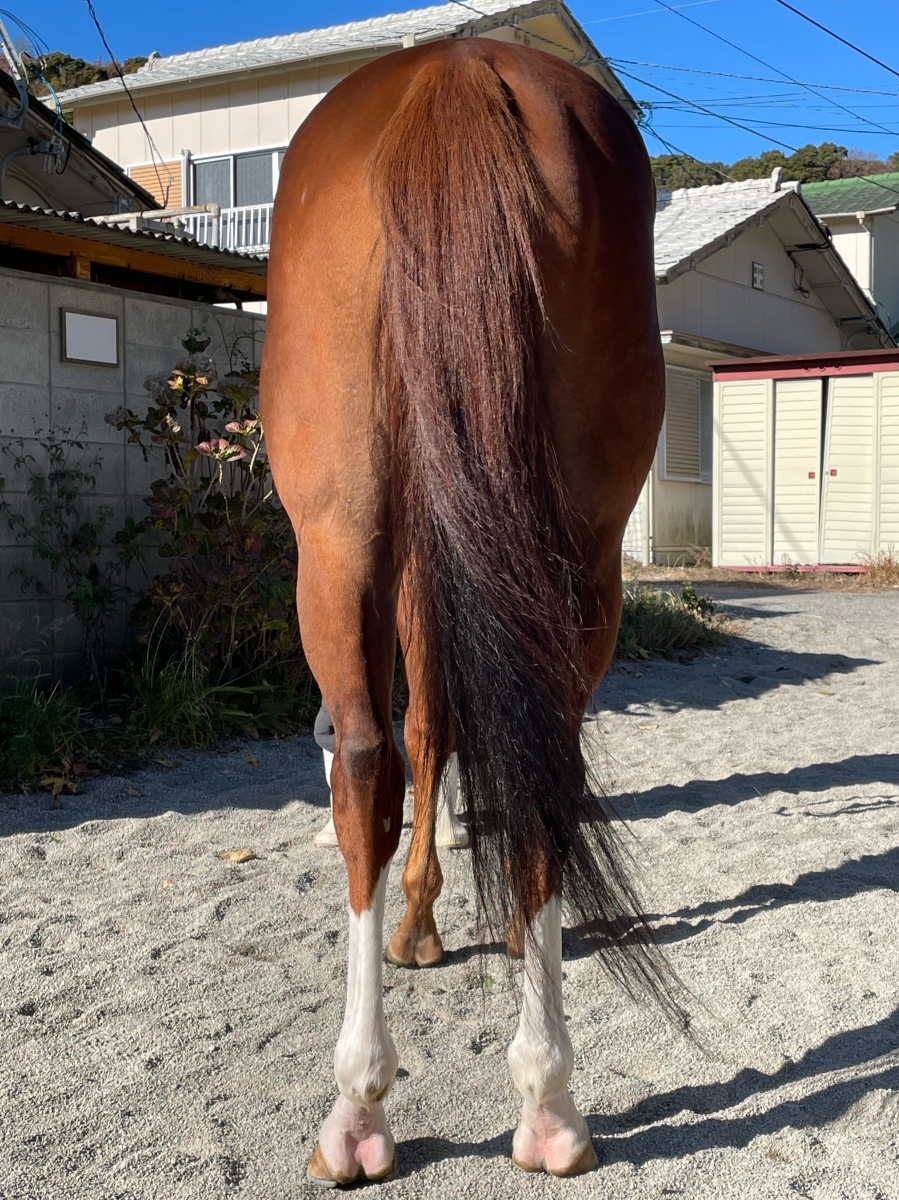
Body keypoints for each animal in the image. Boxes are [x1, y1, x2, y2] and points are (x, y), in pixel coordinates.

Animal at [261, 37, 675, 1186]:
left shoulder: (405, 575)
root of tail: (459, 65)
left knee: (365, 762)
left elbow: (422, 729)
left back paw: (360, 1109)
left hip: (338, 539)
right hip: (576, 550)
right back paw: (549, 1105)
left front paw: (417, 921)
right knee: (545, 766)